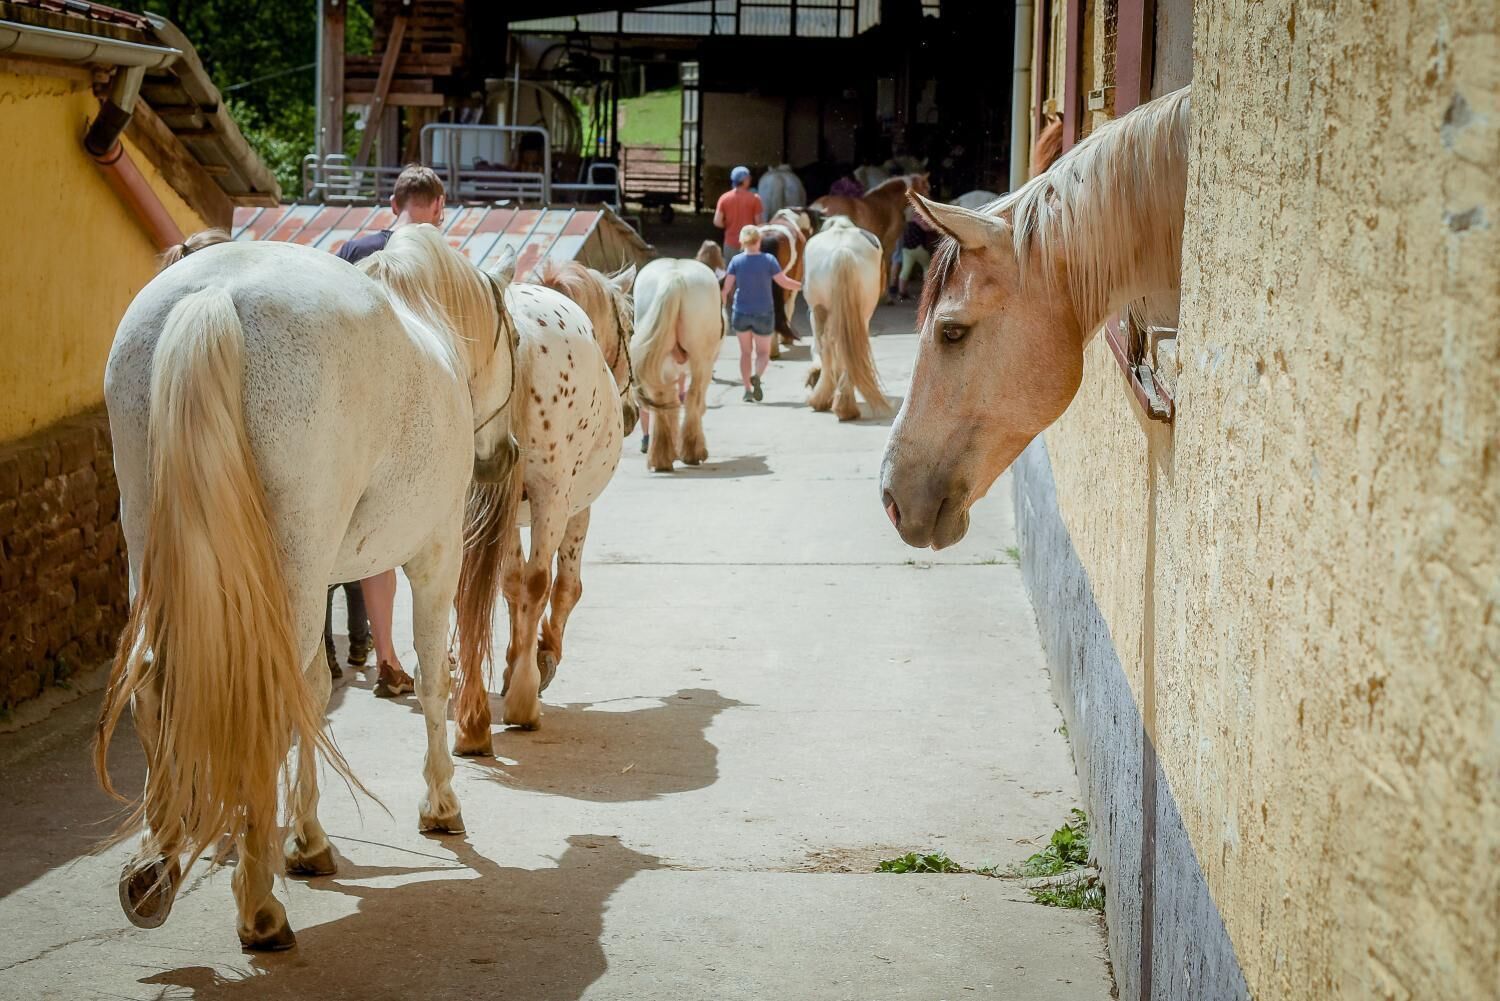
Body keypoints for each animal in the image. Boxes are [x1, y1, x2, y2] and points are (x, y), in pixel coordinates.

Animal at [94, 225, 520, 950]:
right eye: (514, 337)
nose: (507, 454)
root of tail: (215, 295)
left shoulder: (320, 579)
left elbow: (315, 694)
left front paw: (306, 839)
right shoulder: (434, 557)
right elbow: (433, 679)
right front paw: (439, 804)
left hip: (155, 542)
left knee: (154, 678)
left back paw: (156, 869)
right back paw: (259, 908)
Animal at [449, 258, 634, 738]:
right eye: (630, 325)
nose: (632, 412)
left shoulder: (507, 514)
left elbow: (509, 584)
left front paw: (516, 660)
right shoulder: (576, 510)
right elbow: (564, 587)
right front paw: (541, 656)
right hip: (553, 498)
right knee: (540, 581)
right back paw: (523, 700)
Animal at [630, 258, 724, 472]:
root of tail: (673, 278)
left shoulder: (669, 371)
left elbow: (671, 403)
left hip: (659, 361)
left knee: (661, 400)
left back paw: (660, 457)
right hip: (701, 360)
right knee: (693, 397)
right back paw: (693, 452)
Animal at [803, 216, 891, 421]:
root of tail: (842, 250)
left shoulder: (814, 313)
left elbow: (818, 348)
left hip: (820, 310)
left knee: (827, 345)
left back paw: (826, 401)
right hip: (862, 313)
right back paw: (845, 405)